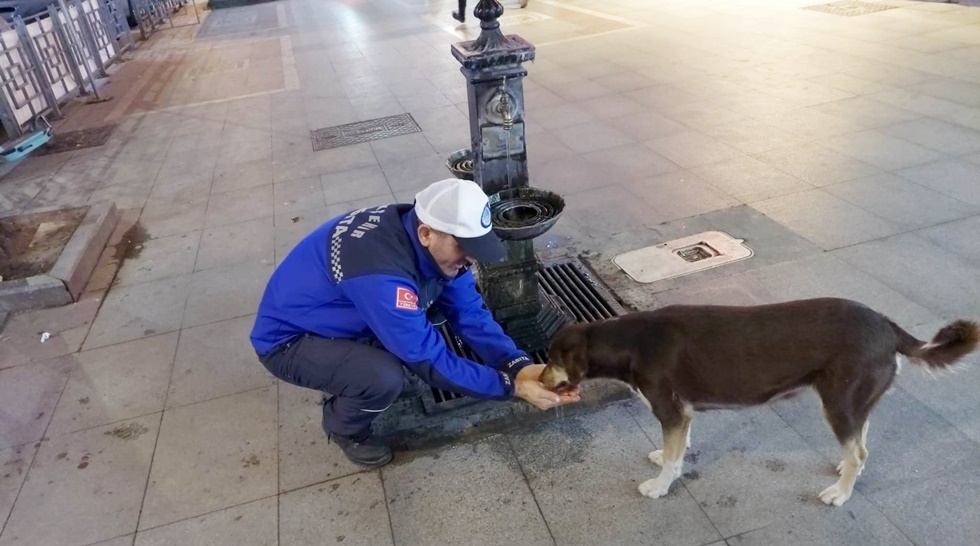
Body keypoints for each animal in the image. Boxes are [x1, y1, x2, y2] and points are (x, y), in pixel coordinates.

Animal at [540, 298, 976, 506]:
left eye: (552, 359)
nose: (538, 379)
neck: (629, 343)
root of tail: (886, 324)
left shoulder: (670, 410)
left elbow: (673, 461)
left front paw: (660, 485)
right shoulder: (682, 414)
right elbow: (677, 449)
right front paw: (664, 458)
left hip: (837, 402)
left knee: (859, 452)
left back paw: (840, 492)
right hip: (852, 399)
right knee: (861, 437)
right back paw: (844, 471)